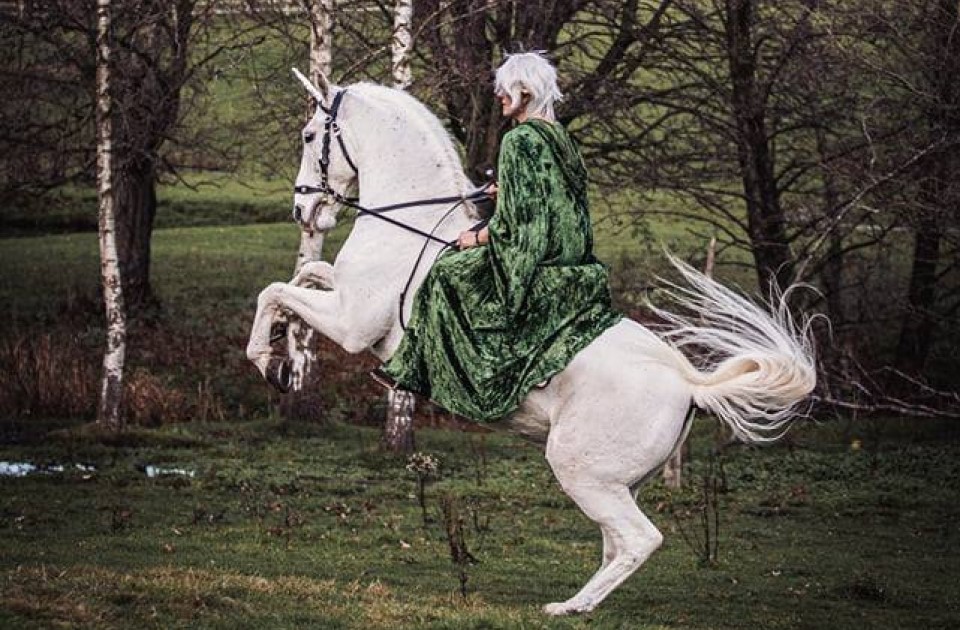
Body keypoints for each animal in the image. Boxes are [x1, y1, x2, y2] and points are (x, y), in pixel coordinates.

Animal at [246, 70, 817, 615]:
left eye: (309, 135)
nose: (301, 211)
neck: (410, 226)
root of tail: (690, 382)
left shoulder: (352, 324)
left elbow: (273, 290)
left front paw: (270, 363)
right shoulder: (341, 298)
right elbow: (303, 277)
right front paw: (283, 348)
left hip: (582, 472)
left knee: (638, 540)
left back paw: (570, 607)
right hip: (617, 482)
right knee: (616, 543)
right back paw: (581, 601)